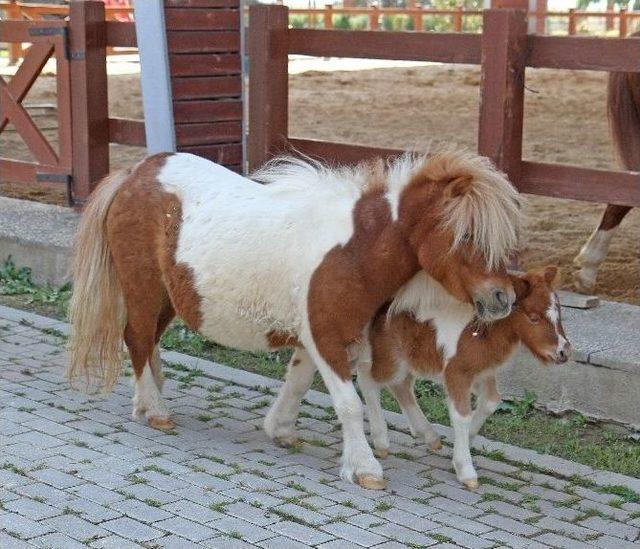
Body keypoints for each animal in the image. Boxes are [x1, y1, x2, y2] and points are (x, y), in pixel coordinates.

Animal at [69, 149, 520, 488]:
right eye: (467, 236)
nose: (503, 298)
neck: (355, 249)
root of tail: (134, 174)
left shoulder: (315, 339)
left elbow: (299, 383)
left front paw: (281, 429)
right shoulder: (326, 337)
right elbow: (349, 405)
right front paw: (365, 469)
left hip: (167, 299)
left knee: (147, 343)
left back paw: (145, 402)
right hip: (144, 290)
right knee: (137, 339)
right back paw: (156, 410)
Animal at [358, 266, 572, 488]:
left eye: (559, 312)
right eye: (534, 317)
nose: (563, 352)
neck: (481, 332)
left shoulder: (481, 372)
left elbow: (491, 401)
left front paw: (464, 444)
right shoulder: (457, 373)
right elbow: (461, 414)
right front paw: (465, 470)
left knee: (400, 385)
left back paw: (430, 437)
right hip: (390, 359)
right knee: (368, 379)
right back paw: (381, 442)